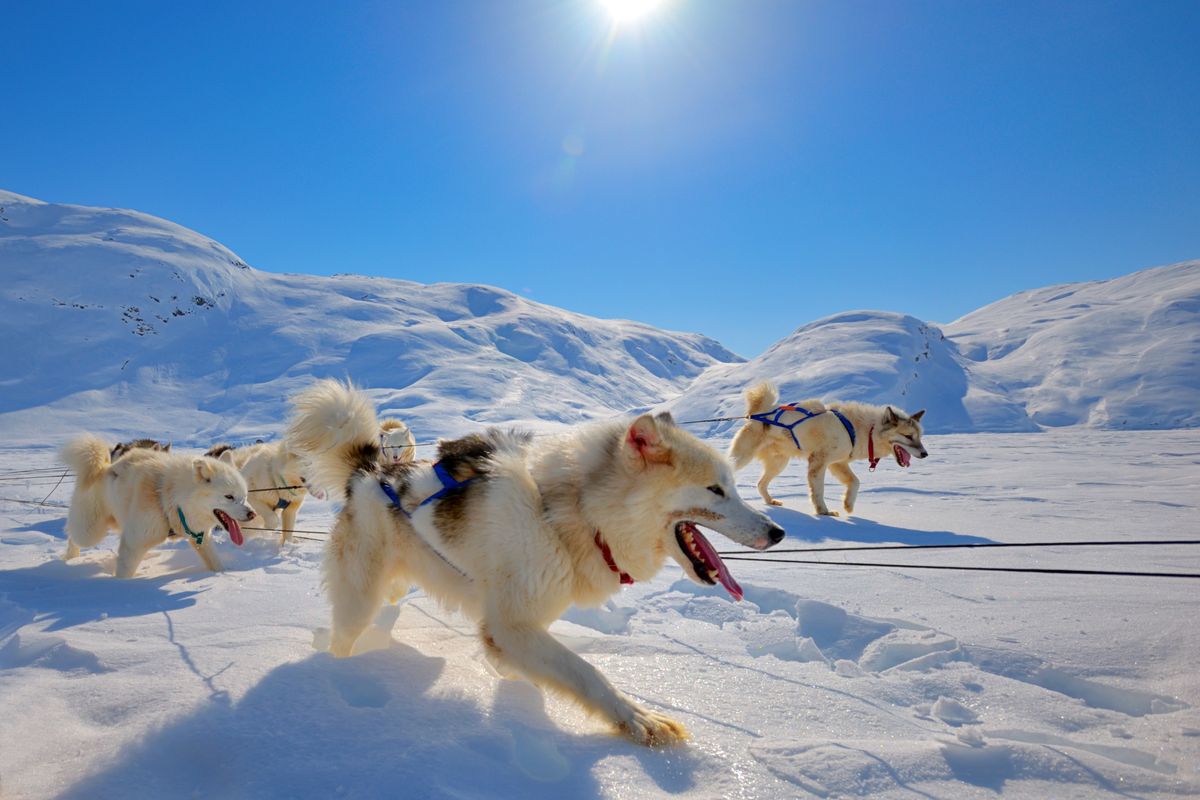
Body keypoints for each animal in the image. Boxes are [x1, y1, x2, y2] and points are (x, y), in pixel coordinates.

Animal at [284, 381, 782, 743]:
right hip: (358, 597)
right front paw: (638, 719)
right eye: (715, 490)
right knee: (344, 636)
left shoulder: (517, 625)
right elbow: (587, 672)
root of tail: (371, 471)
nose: (778, 532)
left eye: (732, 486)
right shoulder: (512, 626)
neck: (569, 515)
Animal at [724, 383, 931, 520]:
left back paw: (770, 501)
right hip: (743, 457)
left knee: (760, 484)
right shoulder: (819, 462)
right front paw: (823, 511)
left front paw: (848, 504)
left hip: (779, 464)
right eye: (908, 436)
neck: (862, 429)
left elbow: (855, 482)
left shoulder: (838, 463)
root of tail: (758, 415)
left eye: (920, 436)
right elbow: (818, 491)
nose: (925, 454)